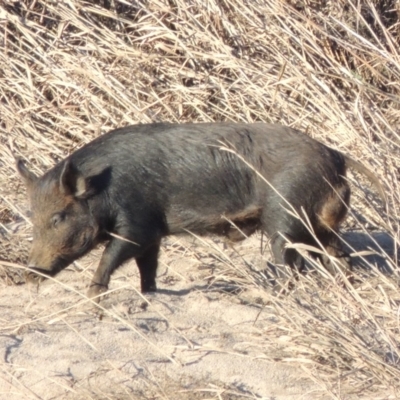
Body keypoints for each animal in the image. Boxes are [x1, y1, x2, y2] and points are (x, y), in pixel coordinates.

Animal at [16, 122, 384, 300]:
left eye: (58, 217)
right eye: (33, 219)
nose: (31, 271)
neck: (103, 190)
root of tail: (335, 156)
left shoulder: (137, 224)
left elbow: (113, 255)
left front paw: (93, 296)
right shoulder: (153, 233)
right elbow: (147, 267)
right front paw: (149, 295)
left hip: (285, 216)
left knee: (292, 264)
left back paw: (275, 294)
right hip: (322, 226)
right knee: (339, 256)